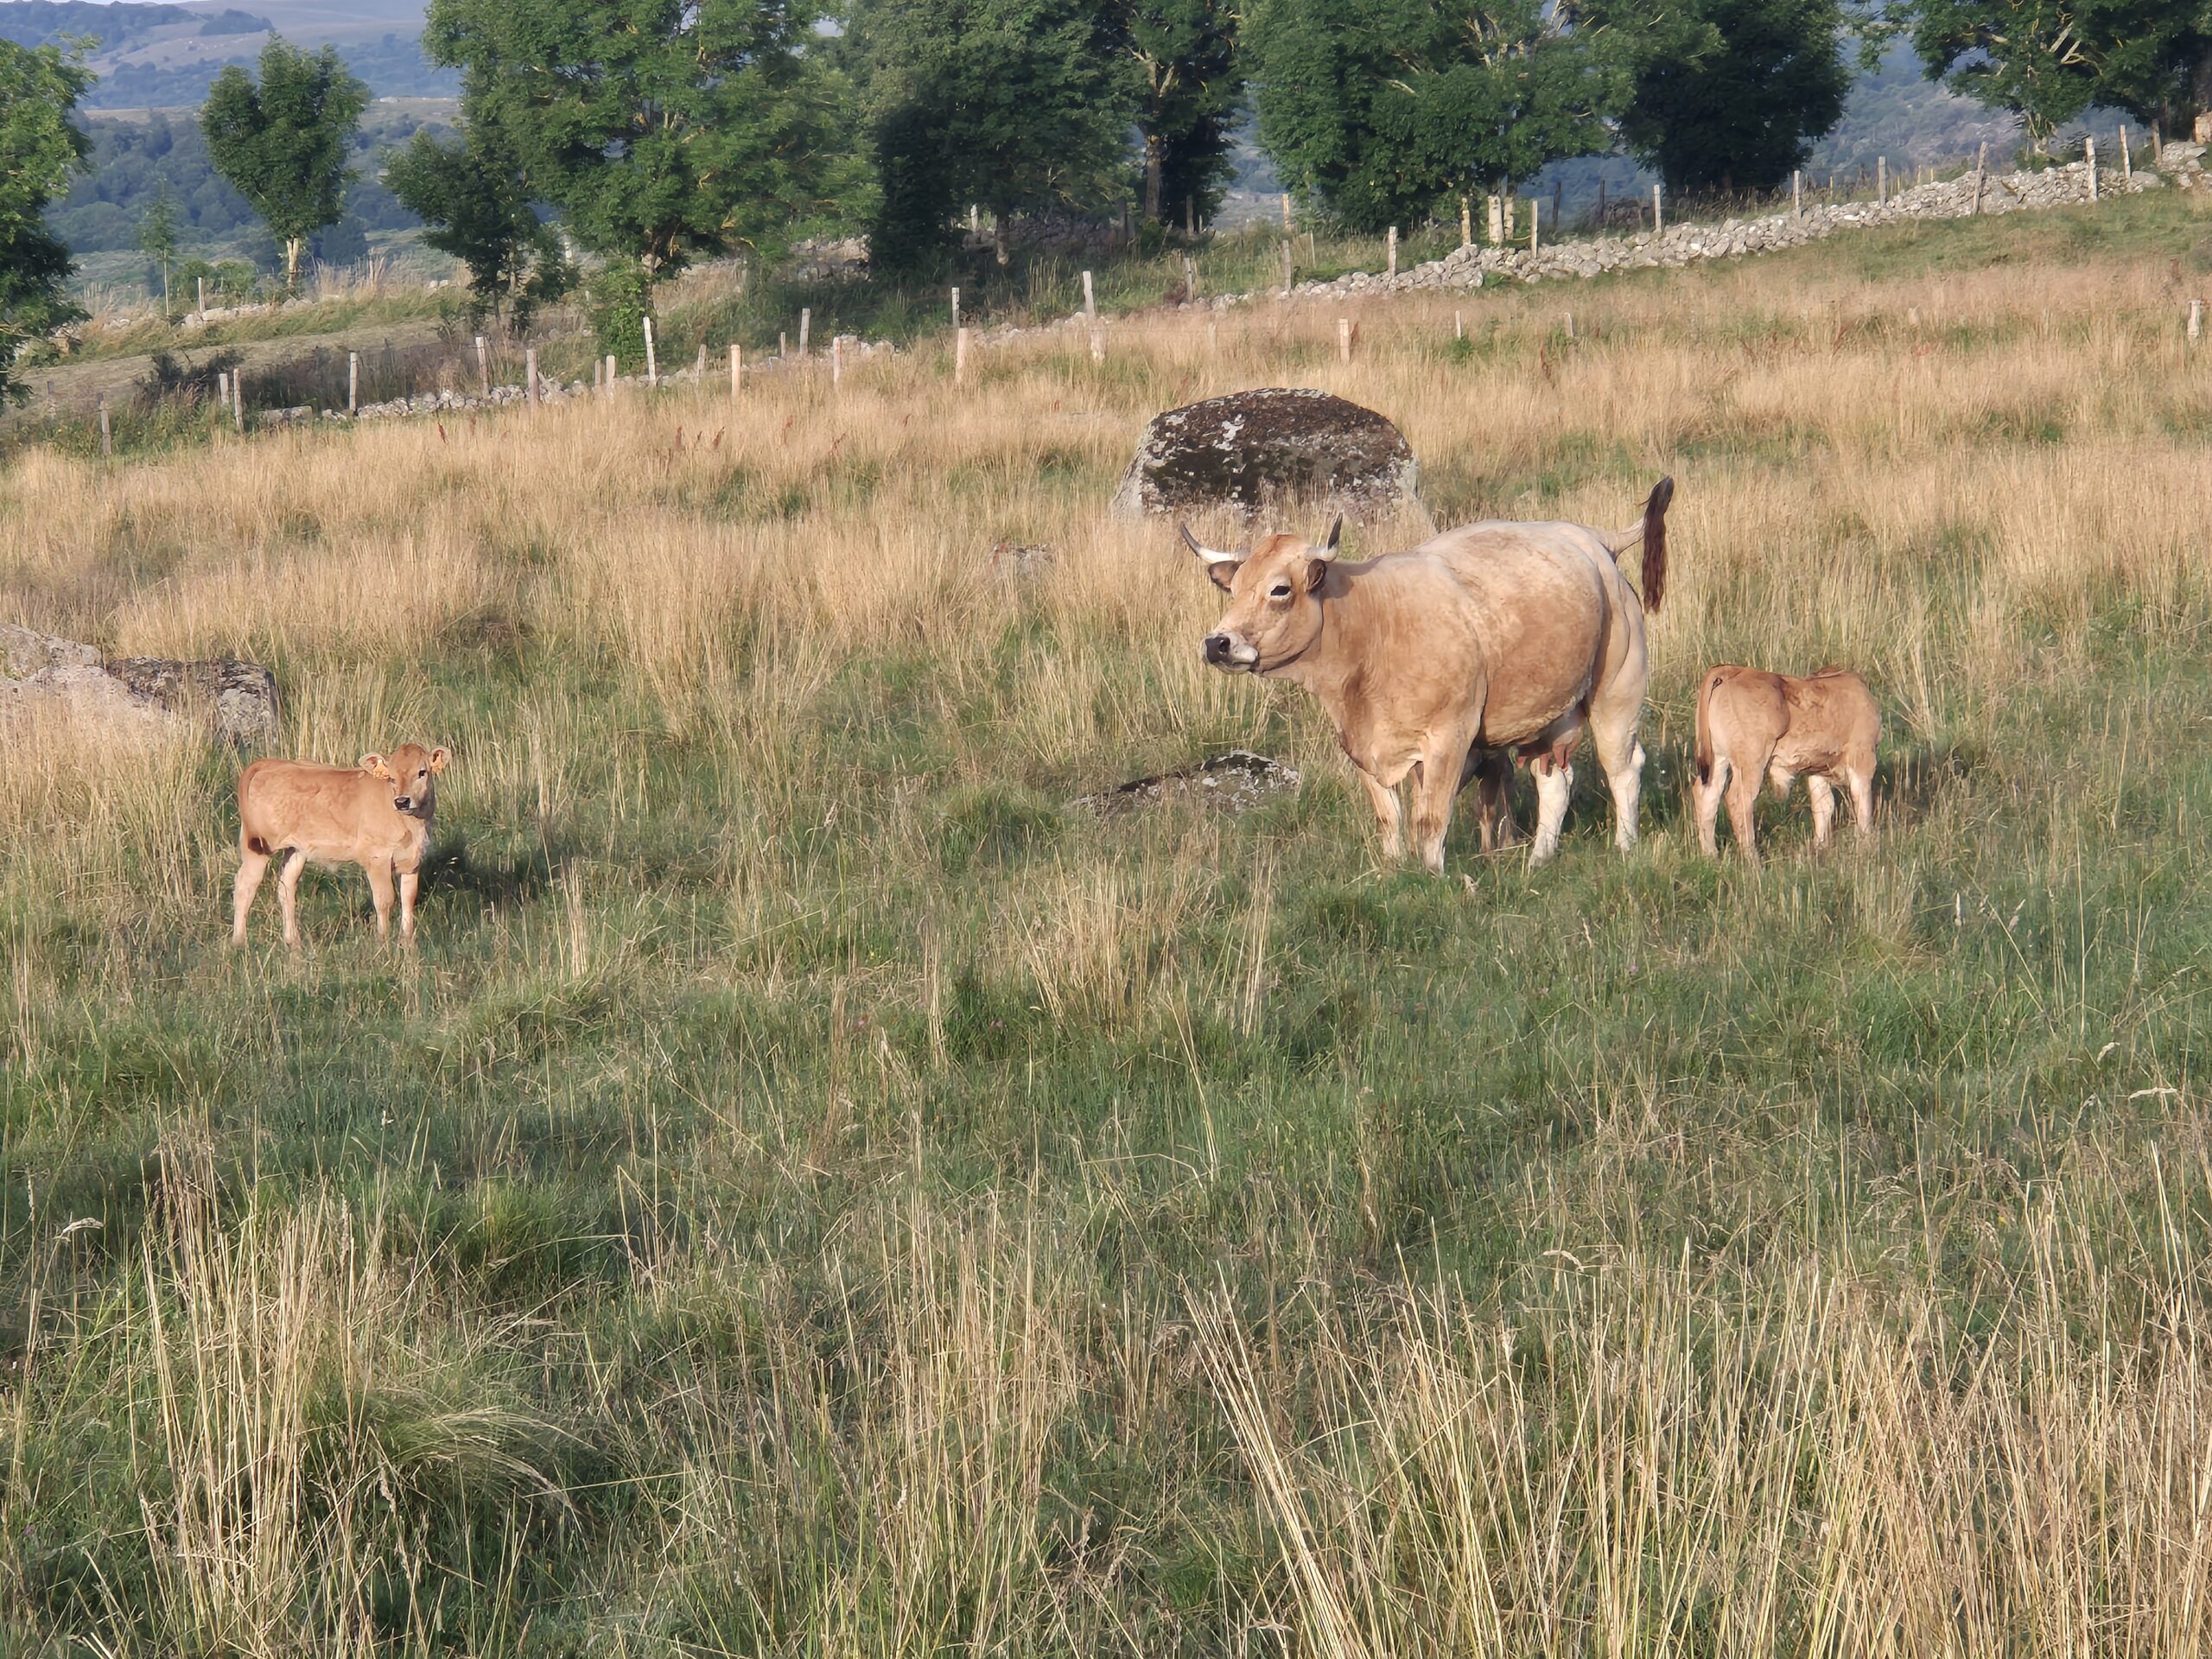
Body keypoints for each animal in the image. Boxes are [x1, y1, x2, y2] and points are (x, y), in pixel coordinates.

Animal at [232, 743, 450, 947]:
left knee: (286, 887)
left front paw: (408, 941)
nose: (402, 801)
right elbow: (384, 899)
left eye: (422, 772)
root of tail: (268, 763)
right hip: (258, 846)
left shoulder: (413, 861)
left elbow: (409, 898)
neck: (412, 825)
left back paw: (293, 941)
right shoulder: (377, 858)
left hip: (296, 849)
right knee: (245, 885)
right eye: (391, 777)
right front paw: (383, 942)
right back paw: (239, 941)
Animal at [1186, 479, 1673, 874]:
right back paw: (1538, 859)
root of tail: (1591, 538)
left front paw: (1433, 875)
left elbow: (1430, 819)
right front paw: (1391, 870)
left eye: (1280, 589)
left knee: (1624, 768)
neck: (1372, 626)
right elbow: (1389, 817)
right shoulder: (1359, 748)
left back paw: (1625, 846)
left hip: (1617, 692)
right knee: (1554, 782)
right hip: (1551, 711)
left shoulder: (1449, 739)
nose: (1218, 643)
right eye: (1233, 589)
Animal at [1692, 665, 1879, 866]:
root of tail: (1733, 670)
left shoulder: (1817, 770)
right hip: (1751, 760)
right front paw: (1866, 850)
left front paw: (1818, 850)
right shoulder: (1863, 759)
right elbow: (1863, 806)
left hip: (1718, 759)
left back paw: (1710, 855)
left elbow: (1824, 807)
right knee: (1739, 801)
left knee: (1707, 796)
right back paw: (1754, 861)